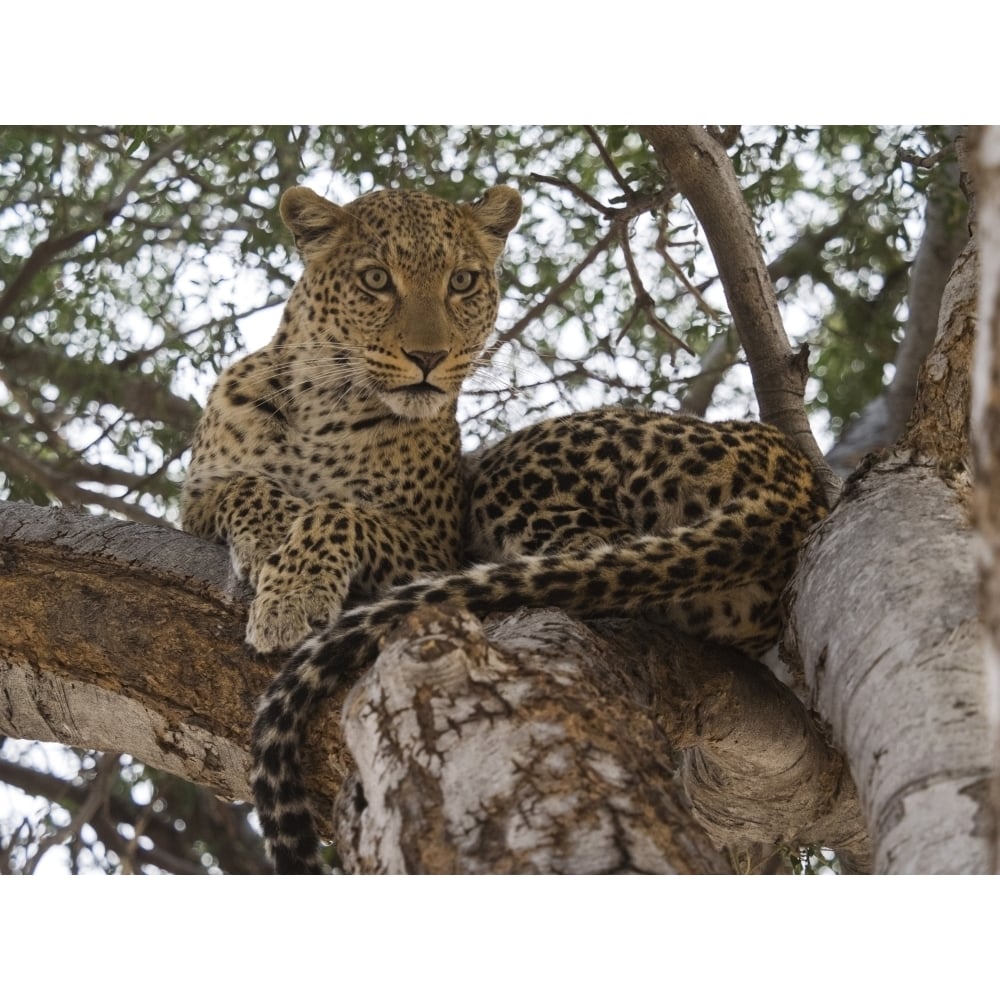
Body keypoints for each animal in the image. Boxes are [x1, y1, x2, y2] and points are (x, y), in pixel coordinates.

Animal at [182, 184, 828, 872]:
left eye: (462, 281)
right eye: (376, 279)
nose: (429, 358)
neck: (325, 403)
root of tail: (796, 475)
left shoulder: (434, 545)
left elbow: (340, 512)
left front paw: (292, 593)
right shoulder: (196, 498)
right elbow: (242, 486)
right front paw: (269, 536)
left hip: (517, 474)